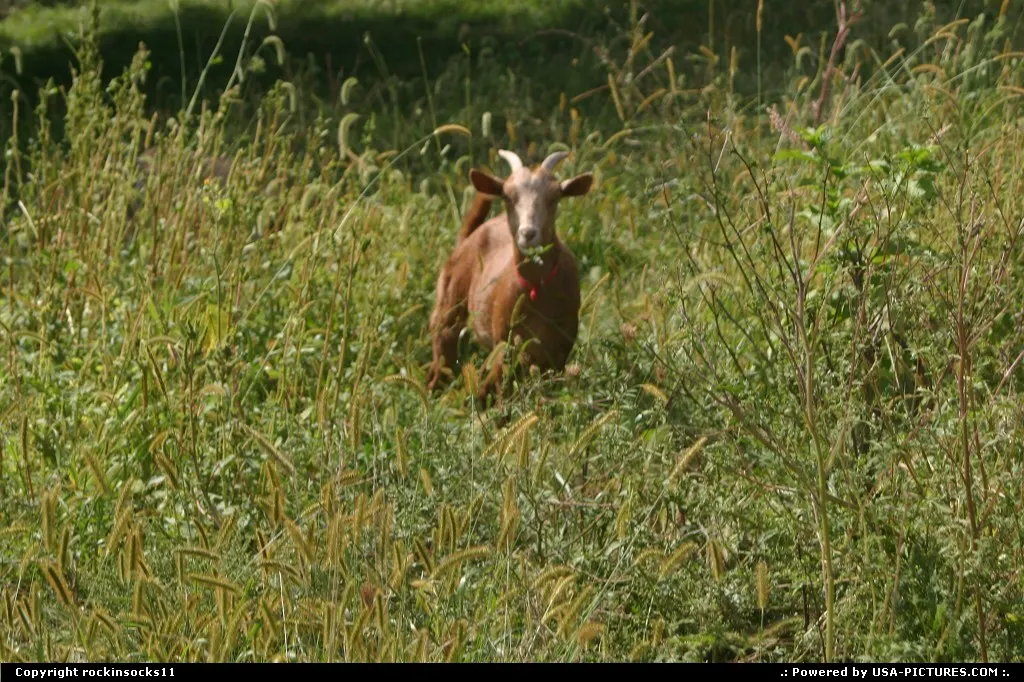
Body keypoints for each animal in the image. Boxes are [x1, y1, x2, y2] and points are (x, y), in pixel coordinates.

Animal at [427, 149, 593, 404]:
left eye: (555, 197)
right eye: (507, 196)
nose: (528, 233)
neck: (537, 291)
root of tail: (468, 238)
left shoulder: (559, 347)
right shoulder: (506, 342)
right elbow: (502, 391)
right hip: (449, 307)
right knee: (440, 363)